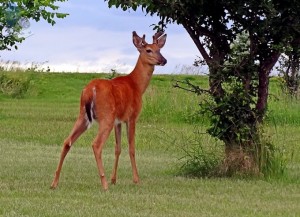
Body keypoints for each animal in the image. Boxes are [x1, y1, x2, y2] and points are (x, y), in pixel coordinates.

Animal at [49, 30, 166, 190]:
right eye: (148, 50)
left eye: (159, 49)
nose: (164, 60)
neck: (137, 85)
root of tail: (89, 90)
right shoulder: (132, 116)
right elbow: (131, 148)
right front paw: (136, 179)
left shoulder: (118, 120)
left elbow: (118, 148)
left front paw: (114, 179)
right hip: (106, 116)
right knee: (96, 144)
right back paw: (104, 184)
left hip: (83, 116)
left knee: (67, 141)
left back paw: (54, 182)